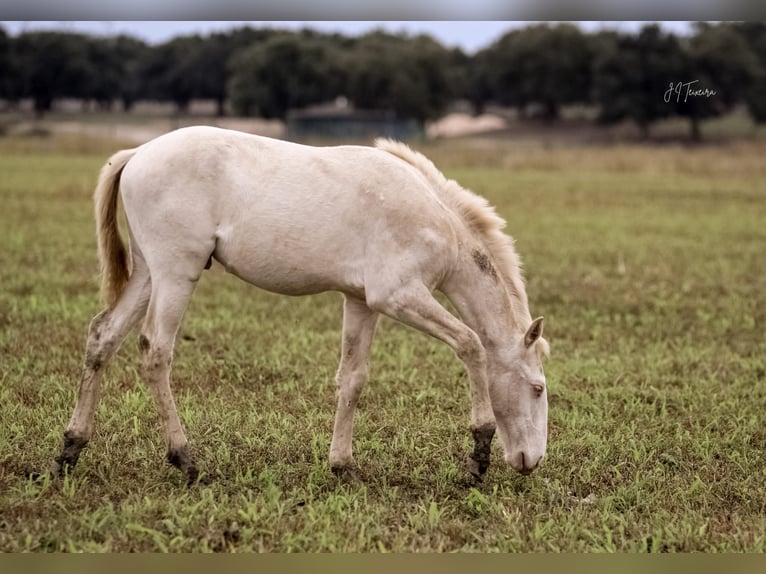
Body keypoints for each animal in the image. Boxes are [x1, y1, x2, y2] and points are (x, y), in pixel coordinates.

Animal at [51, 126, 552, 486]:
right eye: (538, 389)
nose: (532, 460)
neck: (434, 217)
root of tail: (137, 153)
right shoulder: (399, 297)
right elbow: (471, 346)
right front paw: (478, 454)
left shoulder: (362, 302)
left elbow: (352, 379)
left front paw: (343, 466)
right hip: (176, 274)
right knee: (156, 352)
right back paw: (185, 460)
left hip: (147, 275)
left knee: (102, 338)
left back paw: (70, 450)